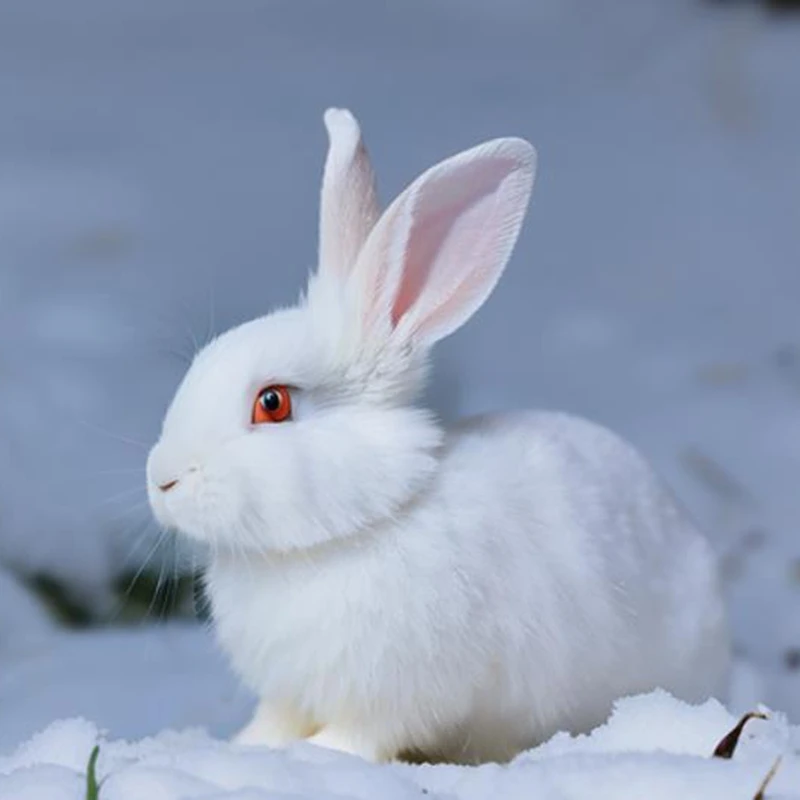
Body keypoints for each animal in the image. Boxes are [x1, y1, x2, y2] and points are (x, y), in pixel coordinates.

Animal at [146, 108, 730, 765]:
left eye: (273, 403)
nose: (160, 481)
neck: (356, 526)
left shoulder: (390, 697)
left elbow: (358, 735)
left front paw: (317, 756)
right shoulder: (288, 693)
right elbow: (275, 719)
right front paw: (244, 746)